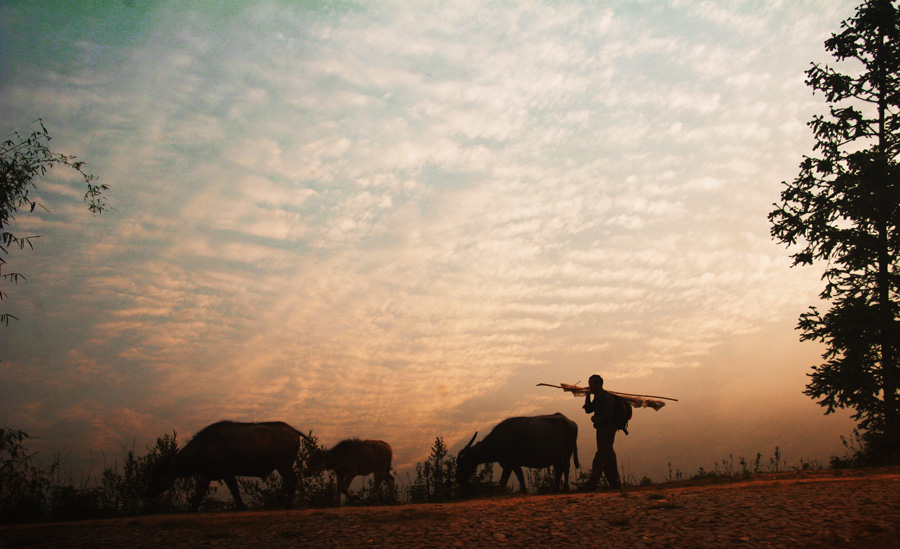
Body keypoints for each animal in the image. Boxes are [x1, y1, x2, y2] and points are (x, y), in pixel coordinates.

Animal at [146, 420, 312, 510]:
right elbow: (199, 491)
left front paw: (242, 506)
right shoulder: (206, 474)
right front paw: (191, 509)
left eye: (158, 473)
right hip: (284, 465)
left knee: (290, 480)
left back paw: (281, 501)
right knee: (291, 481)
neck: (203, 447)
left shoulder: (227, 472)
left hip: (283, 464)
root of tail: (292, 430)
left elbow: (234, 489)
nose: (148, 491)